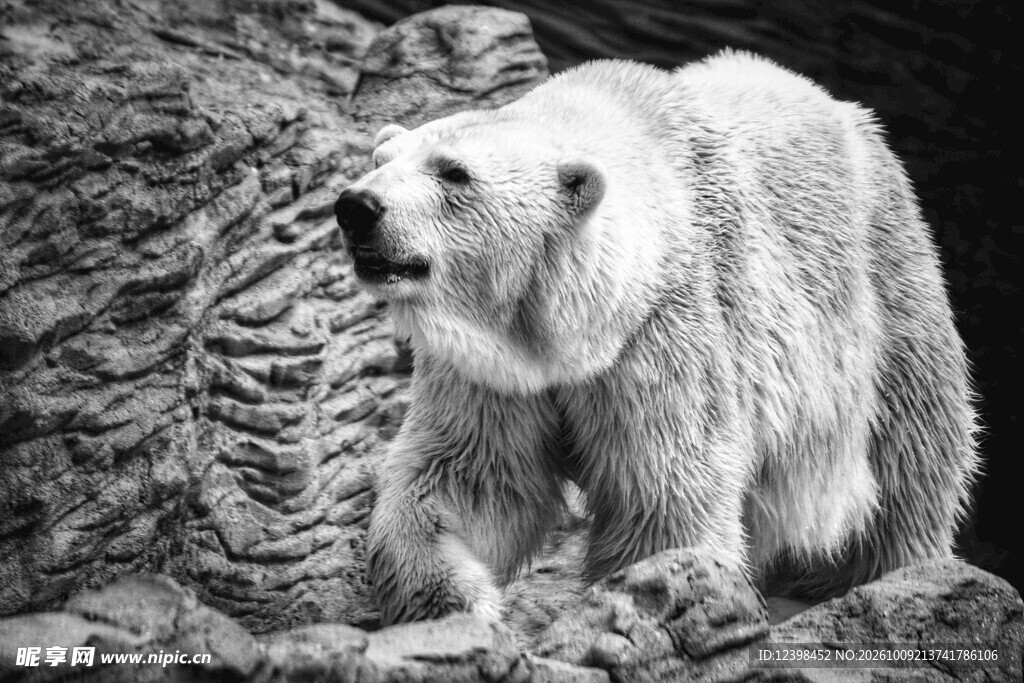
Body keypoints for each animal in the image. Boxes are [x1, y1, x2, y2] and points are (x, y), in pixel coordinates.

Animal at [334, 50, 980, 625]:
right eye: (380, 156)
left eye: (454, 172)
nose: (356, 205)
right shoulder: (493, 368)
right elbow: (464, 479)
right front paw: (460, 605)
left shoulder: (668, 335)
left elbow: (665, 500)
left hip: (885, 290)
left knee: (910, 457)